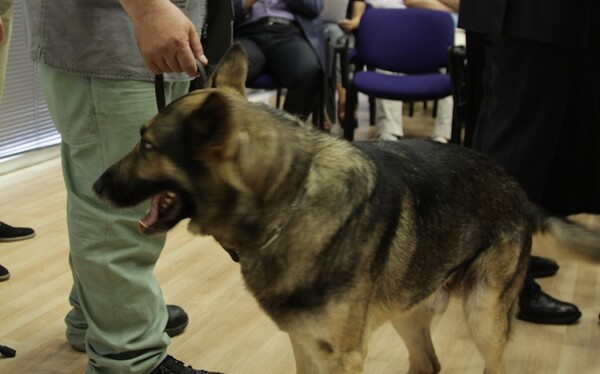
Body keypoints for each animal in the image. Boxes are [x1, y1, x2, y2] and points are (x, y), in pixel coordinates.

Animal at [94, 44, 600, 374]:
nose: (96, 186)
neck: (290, 205)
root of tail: (516, 186)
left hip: (484, 319)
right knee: (427, 364)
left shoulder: (343, 355)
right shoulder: (305, 345)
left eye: (146, 145)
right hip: (409, 308)